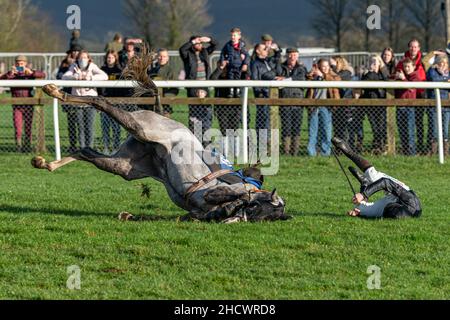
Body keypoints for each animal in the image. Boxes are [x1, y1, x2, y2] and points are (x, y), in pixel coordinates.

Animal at [33, 77, 290, 224]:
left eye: (260, 214)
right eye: (256, 207)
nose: (238, 216)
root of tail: (162, 115)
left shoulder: (197, 214)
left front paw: (127, 216)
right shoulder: (217, 191)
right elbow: (231, 193)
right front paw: (235, 201)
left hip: (126, 165)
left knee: (86, 151)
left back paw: (46, 163)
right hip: (142, 127)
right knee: (100, 102)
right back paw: (56, 91)